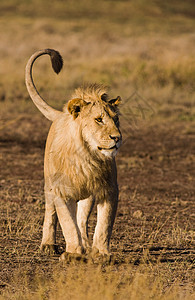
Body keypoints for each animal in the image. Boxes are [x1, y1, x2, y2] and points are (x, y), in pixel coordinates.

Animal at [25, 49, 121, 260]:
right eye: (99, 120)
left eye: (116, 119)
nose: (117, 137)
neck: (87, 156)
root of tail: (61, 115)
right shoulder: (60, 191)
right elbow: (67, 223)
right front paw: (74, 253)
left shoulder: (109, 189)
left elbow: (104, 225)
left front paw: (101, 253)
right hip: (49, 185)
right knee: (51, 213)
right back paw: (49, 244)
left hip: (87, 195)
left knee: (82, 219)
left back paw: (86, 244)